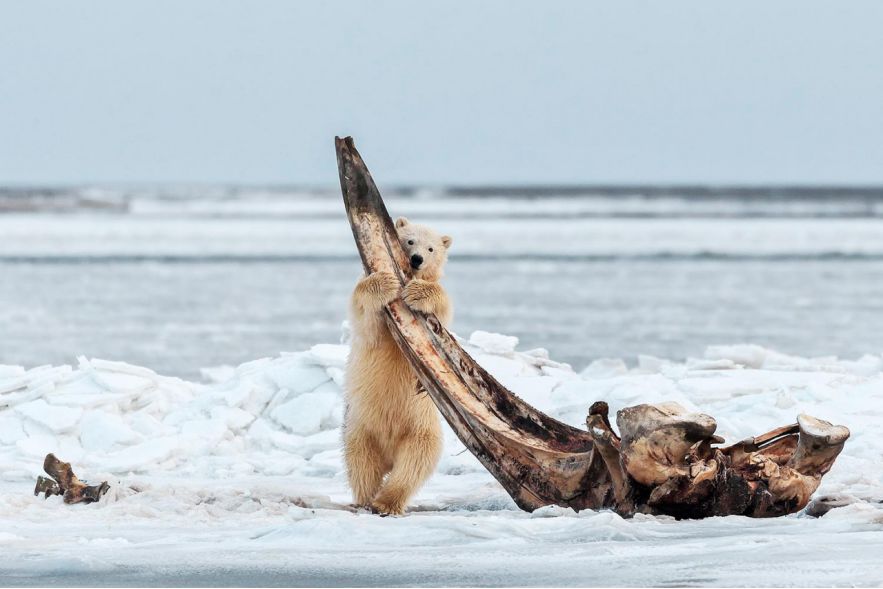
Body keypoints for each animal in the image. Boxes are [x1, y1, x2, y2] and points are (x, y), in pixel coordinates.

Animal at [344, 216, 452, 516]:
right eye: (410, 240)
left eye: (431, 248)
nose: (416, 259)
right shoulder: (374, 326)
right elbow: (367, 320)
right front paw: (384, 282)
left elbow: (441, 313)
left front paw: (418, 292)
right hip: (360, 427)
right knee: (362, 463)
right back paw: (366, 499)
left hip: (420, 429)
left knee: (414, 464)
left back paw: (387, 501)